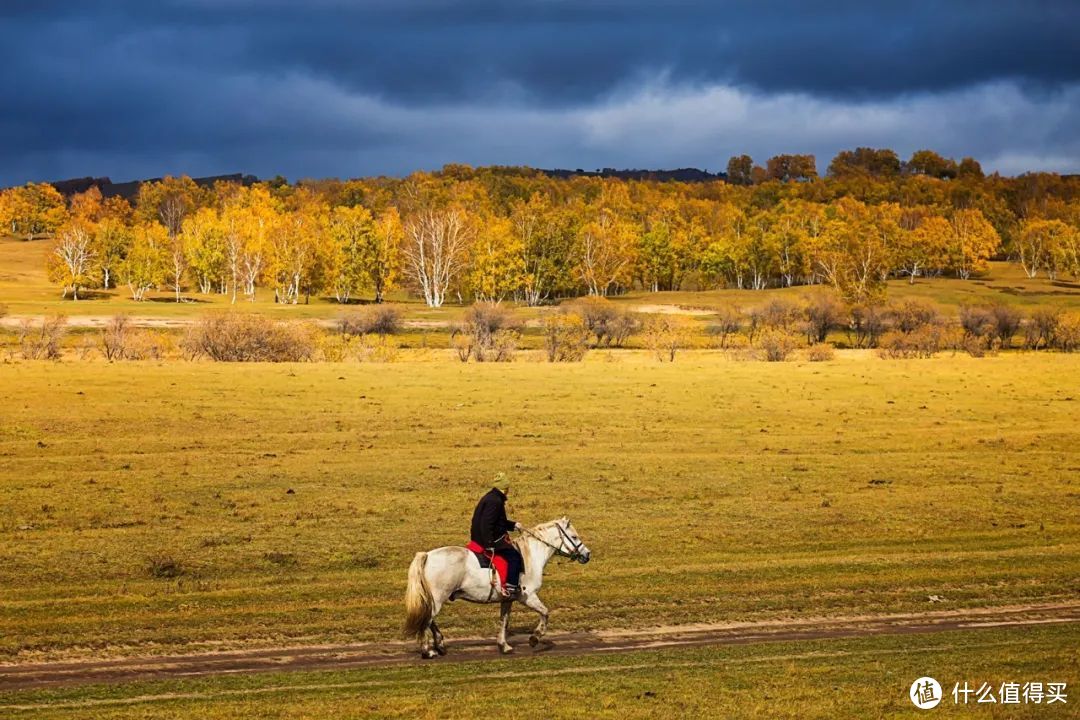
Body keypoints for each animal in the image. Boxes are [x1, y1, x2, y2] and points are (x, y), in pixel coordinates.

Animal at [403, 518, 591, 660]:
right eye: (574, 536)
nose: (587, 555)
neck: (530, 556)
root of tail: (428, 555)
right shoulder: (528, 597)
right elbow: (545, 613)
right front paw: (534, 638)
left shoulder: (507, 600)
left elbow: (504, 622)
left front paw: (504, 646)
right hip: (438, 598)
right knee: (427, 619)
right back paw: (428, 651)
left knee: (430, 620)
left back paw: (440, 645)